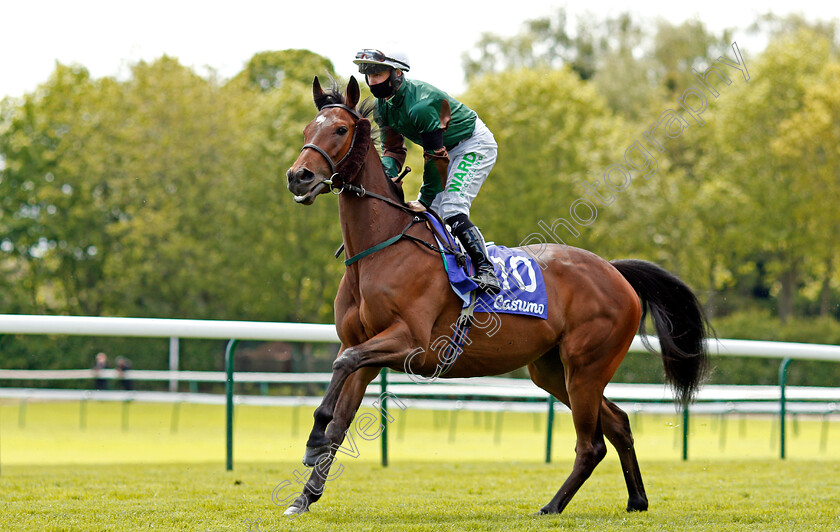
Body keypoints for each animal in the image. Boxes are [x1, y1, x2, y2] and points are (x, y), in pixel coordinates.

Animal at [284, 77, 708, 516]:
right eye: (307, 129)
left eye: (340, 129)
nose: (298, 176)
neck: (382, 249)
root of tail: (614, 271)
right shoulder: (363, 346)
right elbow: (341, 412)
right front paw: (304, 496)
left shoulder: (411, 342)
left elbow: (342, 370)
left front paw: (312, 440)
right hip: (553, 371)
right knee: (619, 423)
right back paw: (636, 499)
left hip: (586, 368)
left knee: (591, 445)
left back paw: (551, 506)